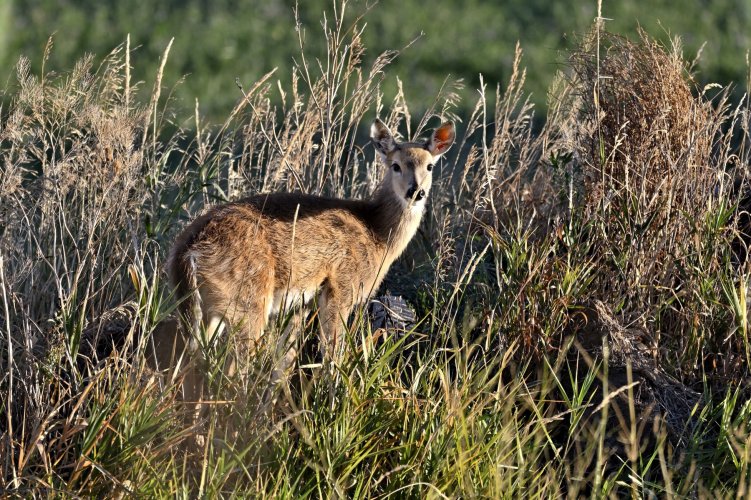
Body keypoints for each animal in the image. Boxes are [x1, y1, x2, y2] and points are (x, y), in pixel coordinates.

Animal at [156, 119, 456, 408]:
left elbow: (285, 362)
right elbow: (332, 355)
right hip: (248, 301)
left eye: (430, 165)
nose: (415, 191)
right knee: (233, 369)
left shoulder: (301, 303)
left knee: (188, 363)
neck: (376, 233)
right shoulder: (341, 287)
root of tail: (187, 252)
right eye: (396, 165)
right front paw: (331, 406)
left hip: (205, 308)